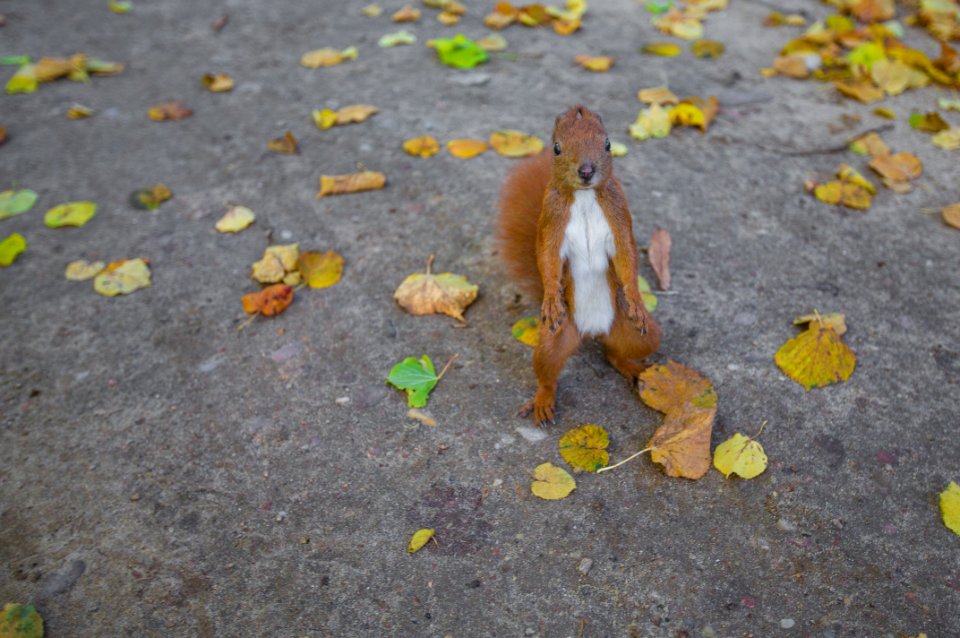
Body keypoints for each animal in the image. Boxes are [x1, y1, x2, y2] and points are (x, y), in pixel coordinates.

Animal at [496, 104, 660, 424]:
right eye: (557, 148)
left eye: (608, 144)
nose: (586, 171)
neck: (584, 197)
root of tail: (592, 331)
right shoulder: (551, 220)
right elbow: (547, 259)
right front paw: (550, 296)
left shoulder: (618, 213)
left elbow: (627, 256)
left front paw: (635, 298)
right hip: (555, 338)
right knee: (548, 370)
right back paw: (543, 400)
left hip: (640, 334)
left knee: (614, 353)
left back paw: (632, 367)